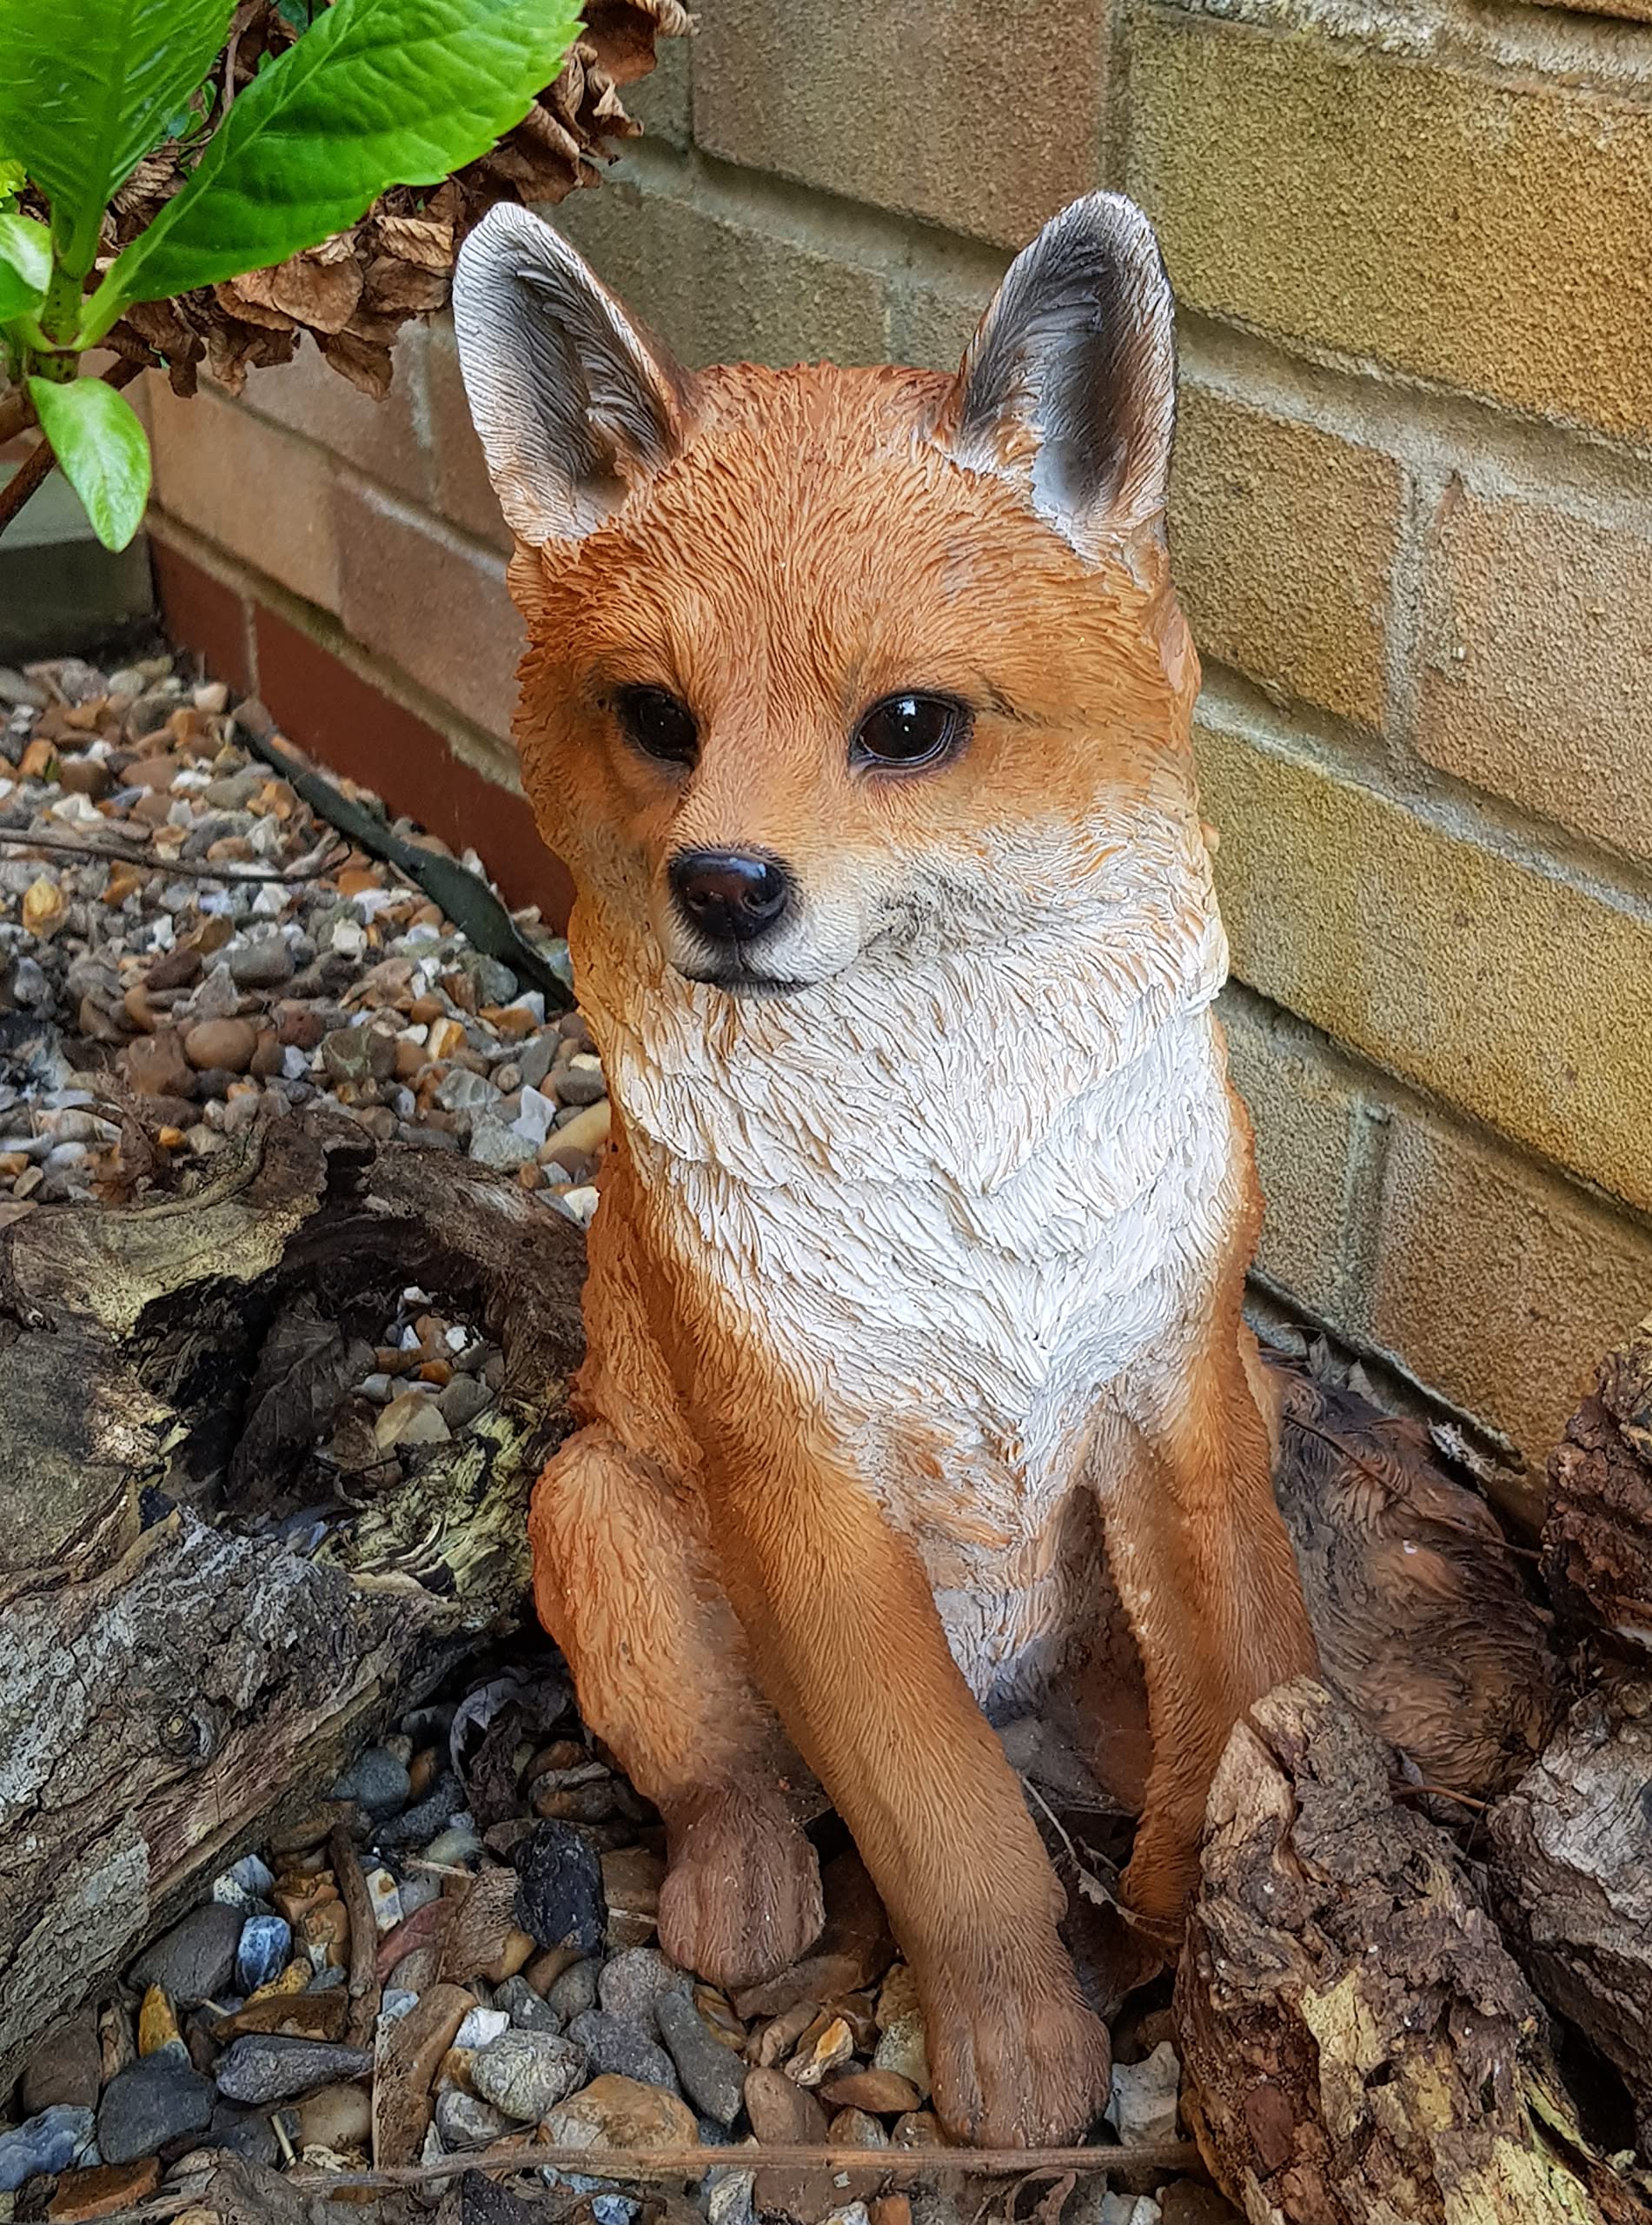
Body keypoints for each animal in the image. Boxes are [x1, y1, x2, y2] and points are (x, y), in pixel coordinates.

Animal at [452, 189, 1319, 2148]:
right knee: (737, 1782)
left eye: (907, 725)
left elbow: (1234, 1702)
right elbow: (943, 1831)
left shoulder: (1180, 1388)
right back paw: (743, 1891)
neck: (964, 1180)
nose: (722, 886)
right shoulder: (802, 1488)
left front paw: (1199, 1934)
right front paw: (1018, 2056)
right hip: (597, 1505)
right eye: (658, 717)